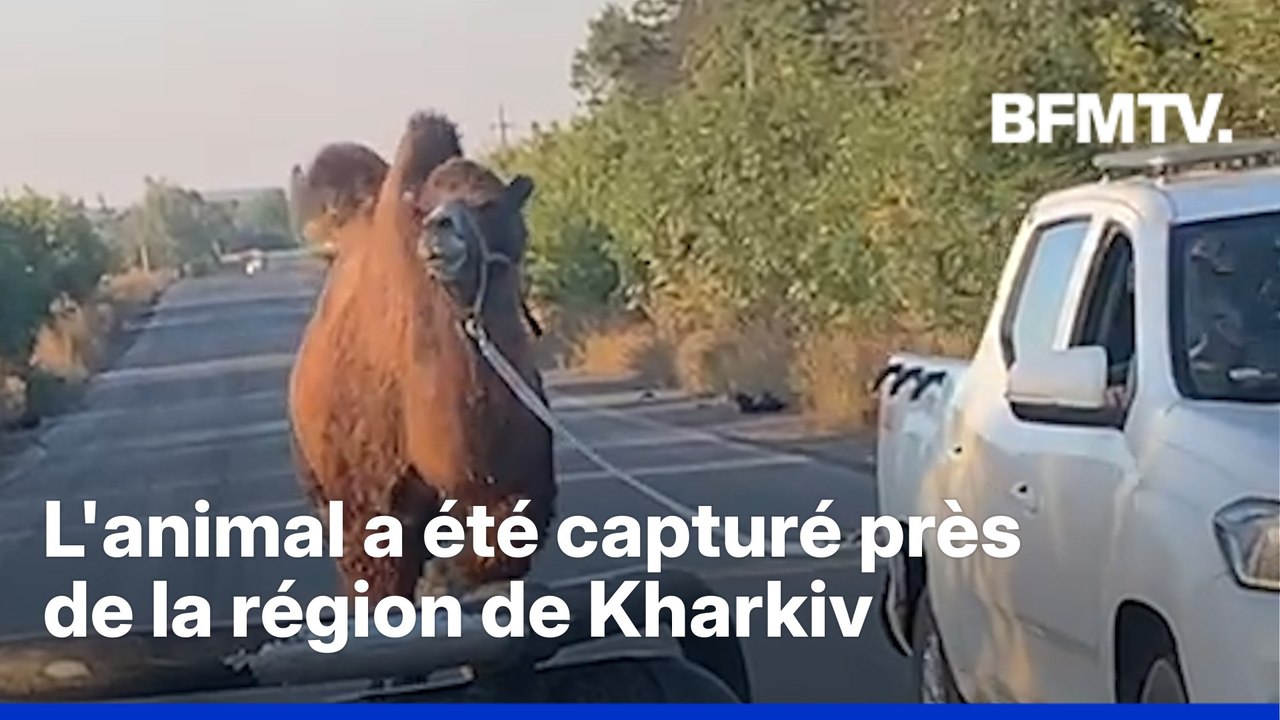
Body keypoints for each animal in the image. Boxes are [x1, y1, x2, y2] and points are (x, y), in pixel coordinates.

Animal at [287, 112, 556, 603]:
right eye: (426, 207)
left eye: (490, 204)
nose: (440, 230)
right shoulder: (373, 506)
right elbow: (379, 578)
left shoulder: (507, 500)